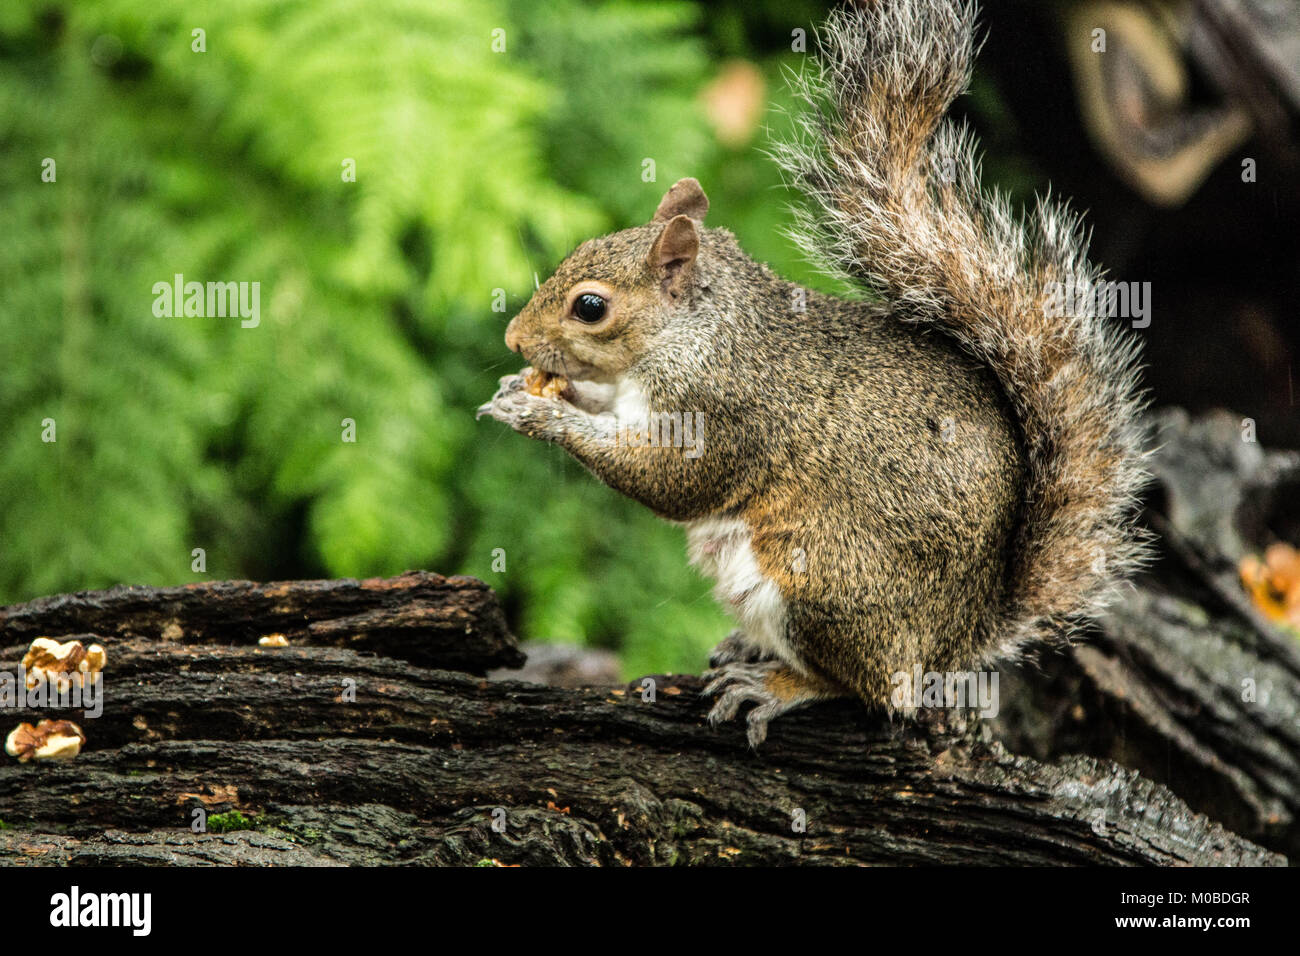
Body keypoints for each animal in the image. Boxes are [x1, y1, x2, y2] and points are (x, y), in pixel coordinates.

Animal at [475, 0, 1149, 749]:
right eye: (584, 245)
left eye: (590, 306)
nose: (512, 337)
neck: (696, 332)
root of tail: (957, 639)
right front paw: (525, 389)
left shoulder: (724, 411)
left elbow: (671, 482)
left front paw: (542, 415)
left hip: (819, 583)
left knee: (874, 690)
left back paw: (778, 685)